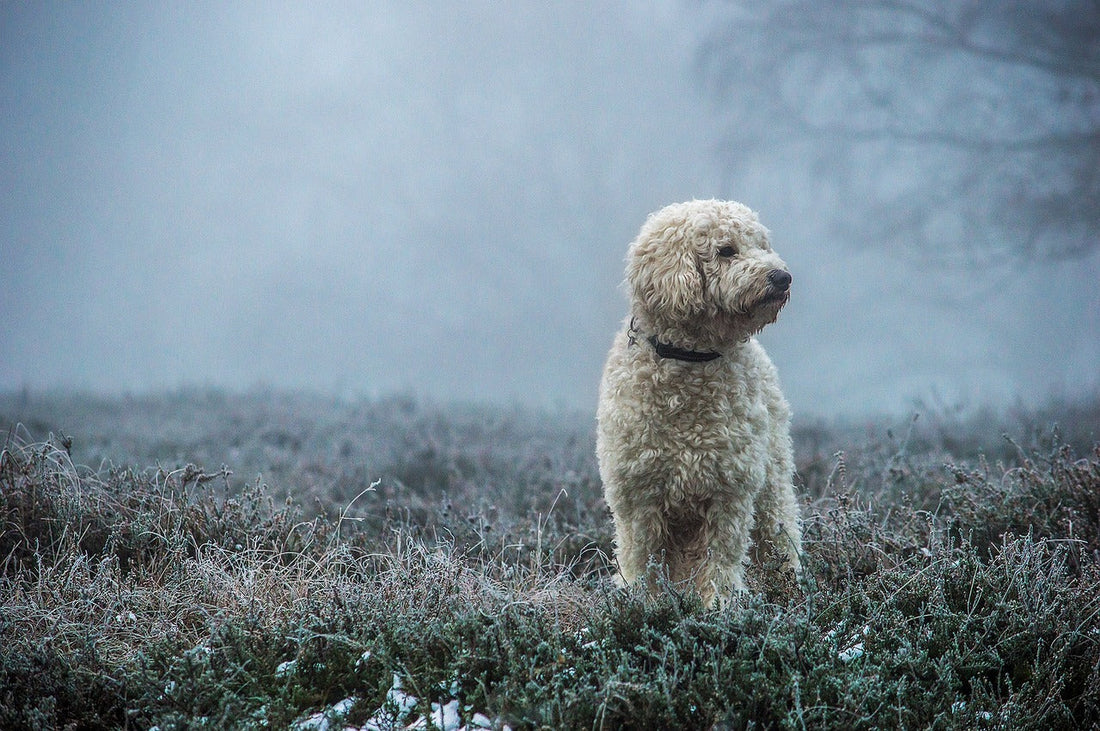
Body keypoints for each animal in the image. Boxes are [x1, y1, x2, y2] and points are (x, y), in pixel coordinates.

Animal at [598, 197, 805, 602]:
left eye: (762, 245)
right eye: (726, 250)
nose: (782, 277)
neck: (690, 359)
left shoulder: (729, 491)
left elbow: (721, 561)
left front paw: (721, 607)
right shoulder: (638, 497)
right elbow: (639, 559)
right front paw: (638, 604)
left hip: (771, 485)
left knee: (780, 535)